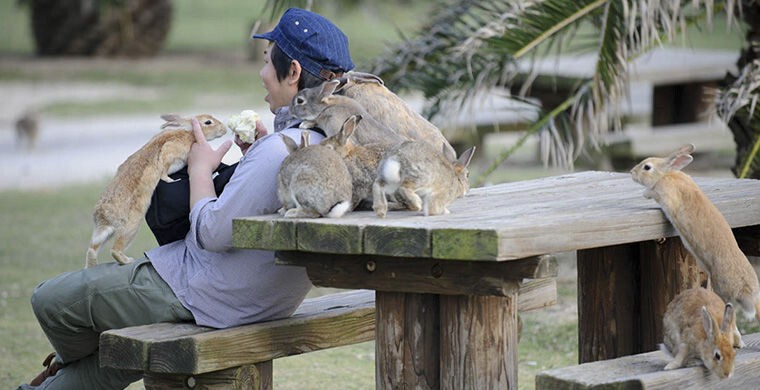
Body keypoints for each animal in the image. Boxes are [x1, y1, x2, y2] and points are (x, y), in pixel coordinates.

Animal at [86, 112, 227, 268]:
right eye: (208, 122)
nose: (224, 129)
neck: (190, 133)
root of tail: (103, 215)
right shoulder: (170, 151)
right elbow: (163, 171)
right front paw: (173, 181)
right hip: (131, 226)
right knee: (115, 249)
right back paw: (128, 260)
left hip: (106, 232)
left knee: (92, 249)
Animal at [628, 143, 760, 344]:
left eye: (647, 167)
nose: (631, 172)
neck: (666, 174)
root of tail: (748, 291)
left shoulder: (664, 192)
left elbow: (652, 193)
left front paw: (645, 193)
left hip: (722, 289)